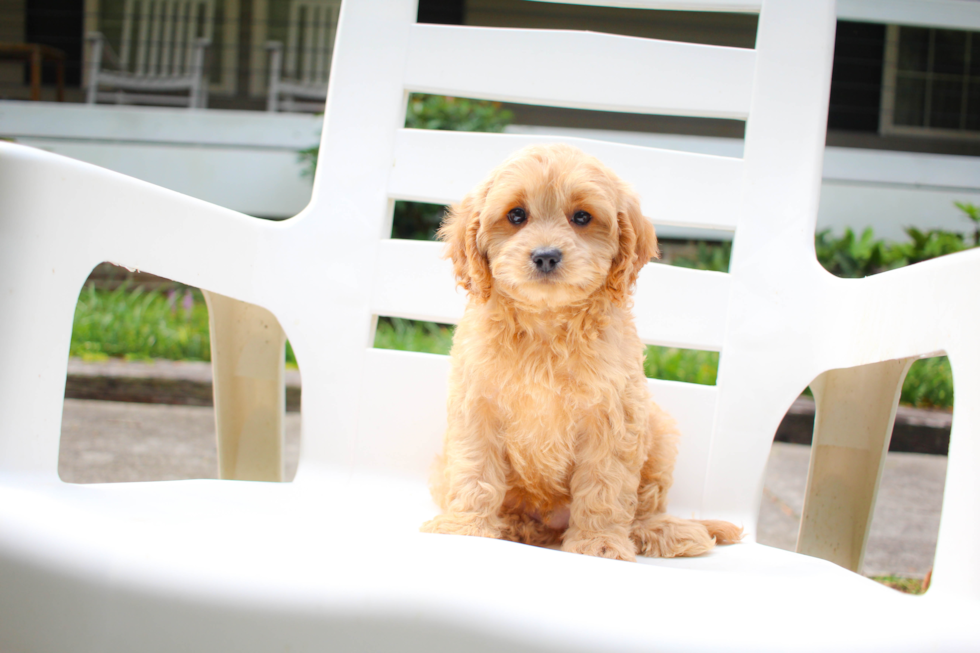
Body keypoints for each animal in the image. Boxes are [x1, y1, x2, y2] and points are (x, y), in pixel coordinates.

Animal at [422, 143, 744, 560]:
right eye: (516, 215)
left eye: (582, 217)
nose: (546, 255)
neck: (546, 325)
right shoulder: (477, 407)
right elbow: (474, 472)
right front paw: (465, 529)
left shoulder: (613, 416)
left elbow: (604, 485)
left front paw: (599, 543)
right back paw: (512, 525)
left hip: (658, 431)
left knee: (645, 506)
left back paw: (665, 531)